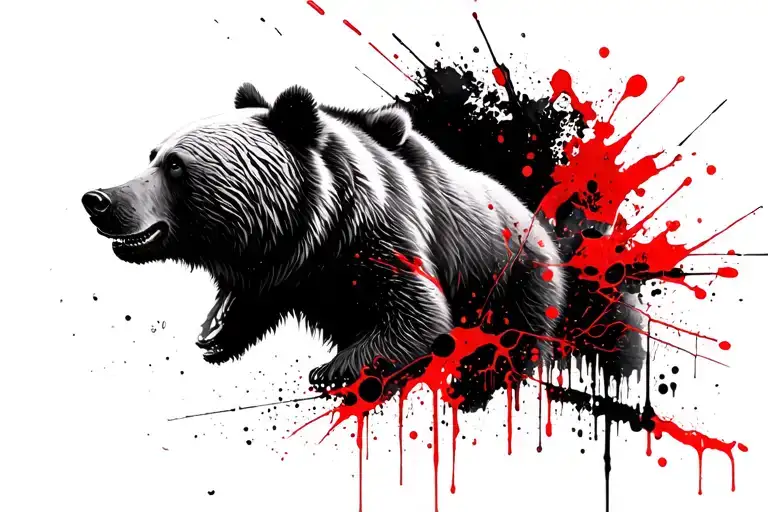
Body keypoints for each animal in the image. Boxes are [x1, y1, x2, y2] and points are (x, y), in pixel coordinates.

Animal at [82, 82, 567, 410]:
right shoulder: (277, 271)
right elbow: (243, 305)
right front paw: (215, 336)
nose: (99, 200)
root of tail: (539, 224)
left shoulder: (381, 239)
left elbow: (418, 316)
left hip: (514, 284)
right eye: (152, 155)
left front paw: (332, 371)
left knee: (510, 348)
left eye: (175, 165)